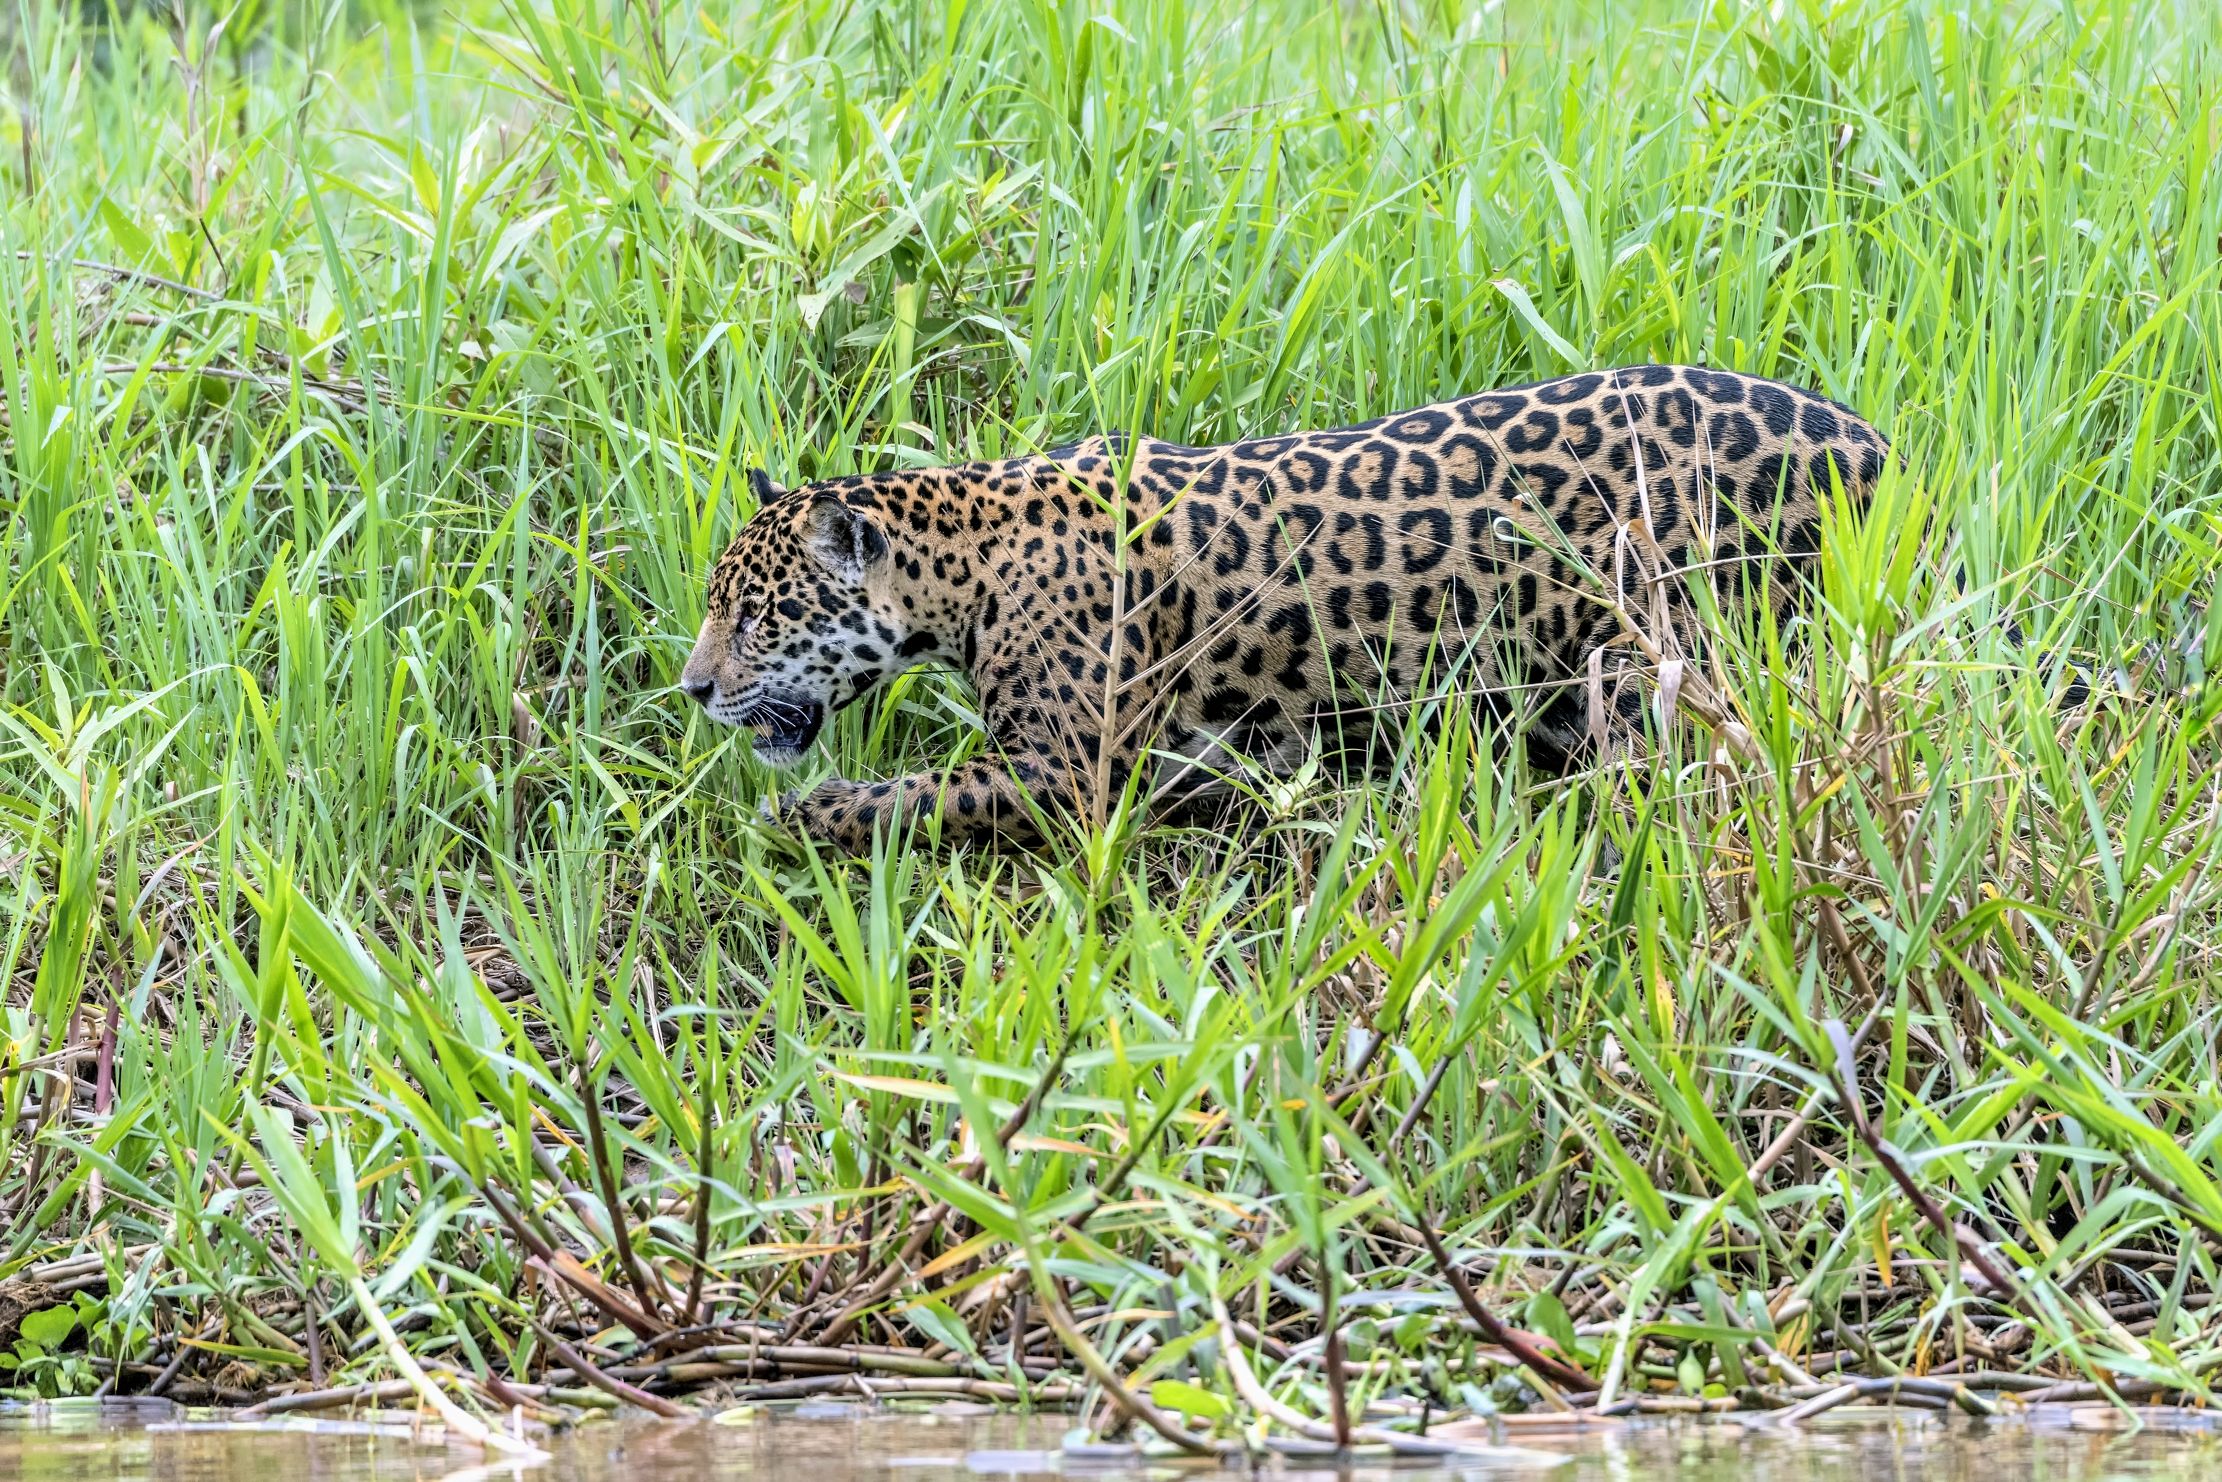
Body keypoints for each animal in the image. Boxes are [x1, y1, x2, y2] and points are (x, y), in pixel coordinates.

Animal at [678, 364, 1889, 851]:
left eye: (757, 618)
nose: (691, 689)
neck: (963, 565)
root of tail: (1871, 437)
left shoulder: (1065, 772)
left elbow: (910, 797)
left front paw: (793, 817)